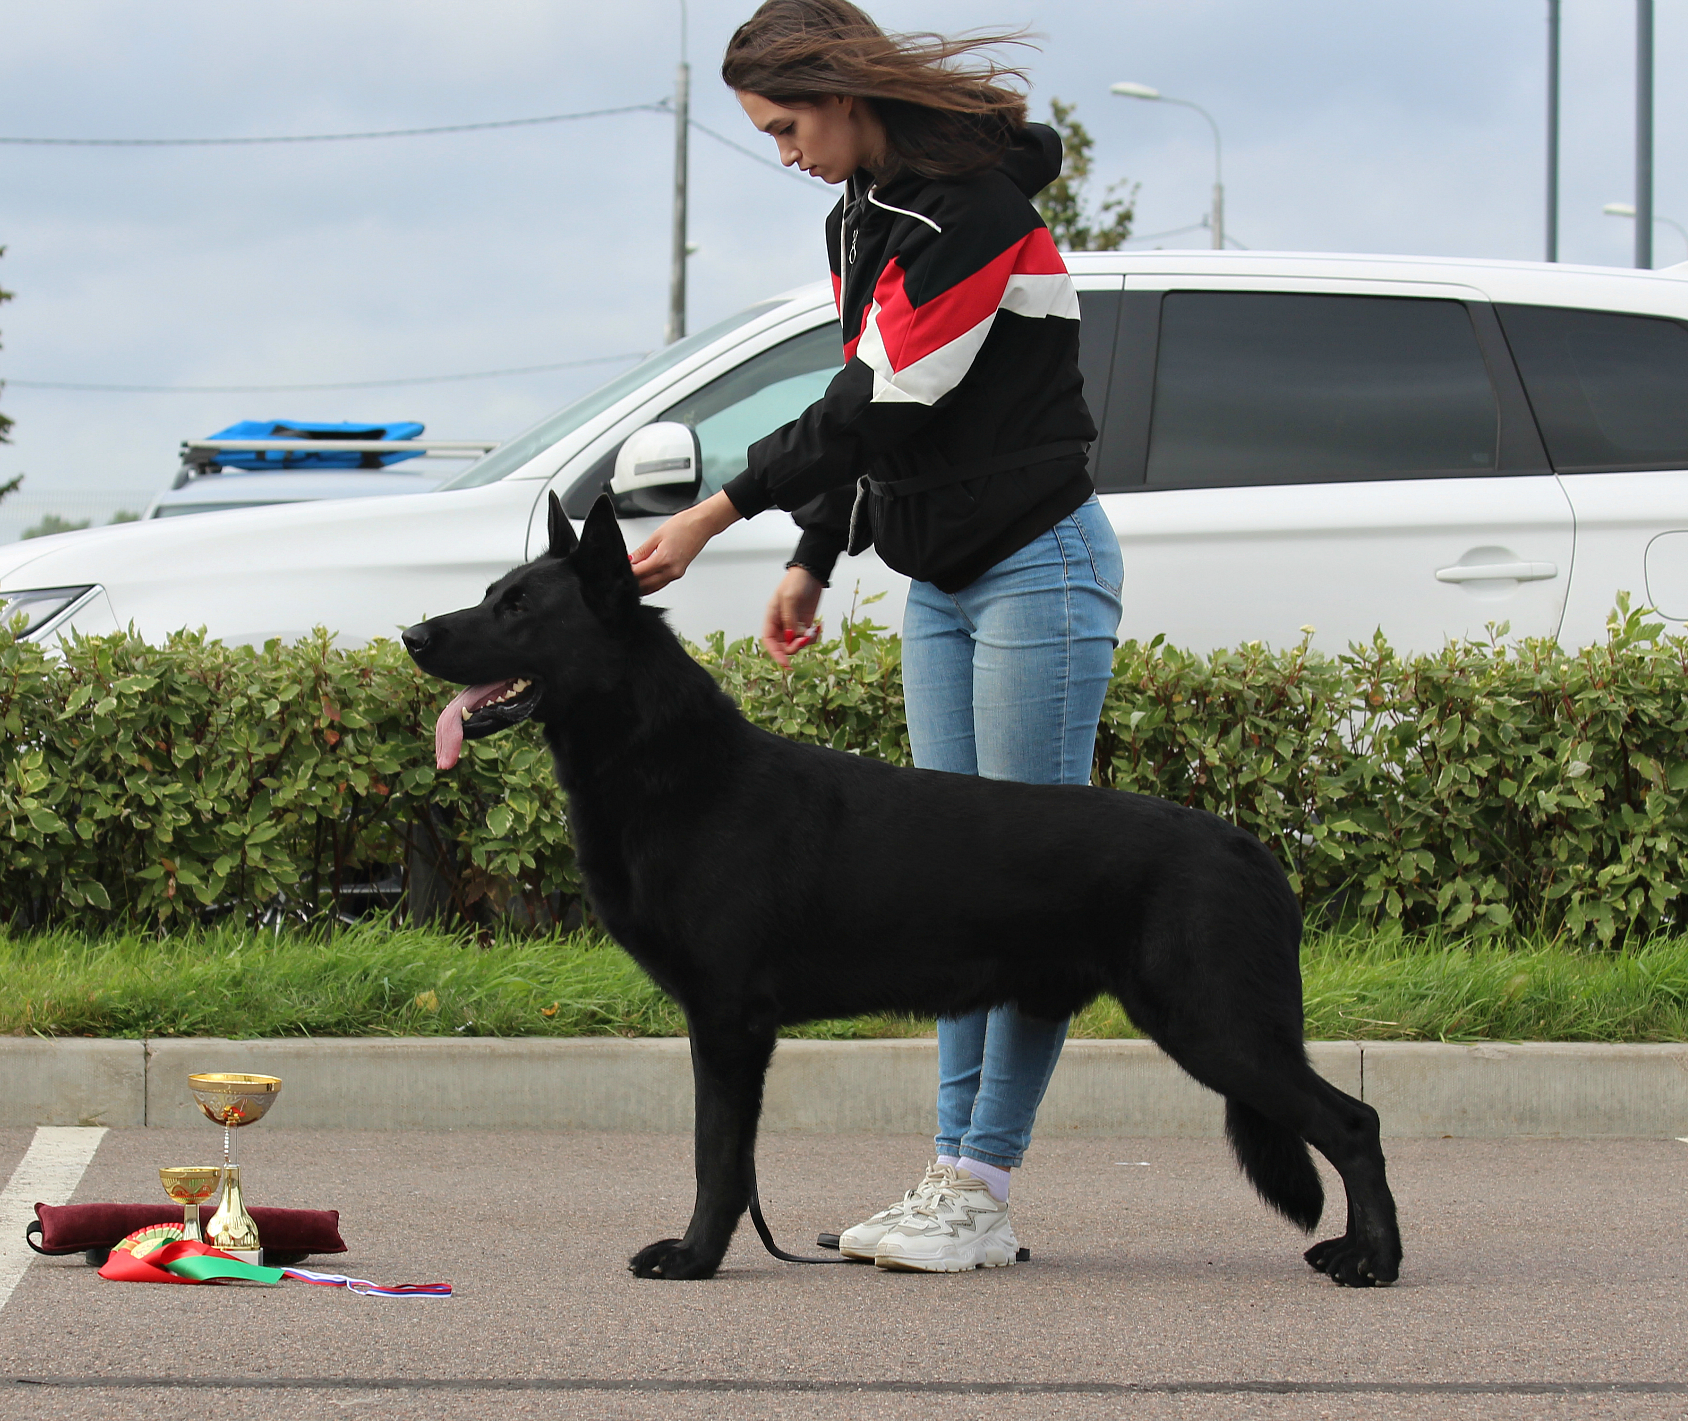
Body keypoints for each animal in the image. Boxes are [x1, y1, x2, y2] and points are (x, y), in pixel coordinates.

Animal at [401, 496, 1404, 1282]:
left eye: (519, 607)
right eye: (490, 593)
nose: (411, 636)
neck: (670, 766)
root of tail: (1249, 846)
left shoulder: (728, 1025)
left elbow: (717, 1159)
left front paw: (695, 1257)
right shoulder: (723, 1027)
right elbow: (723, 1158)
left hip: (1211, 1025)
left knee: (1355, 1122)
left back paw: (1375, 1260)